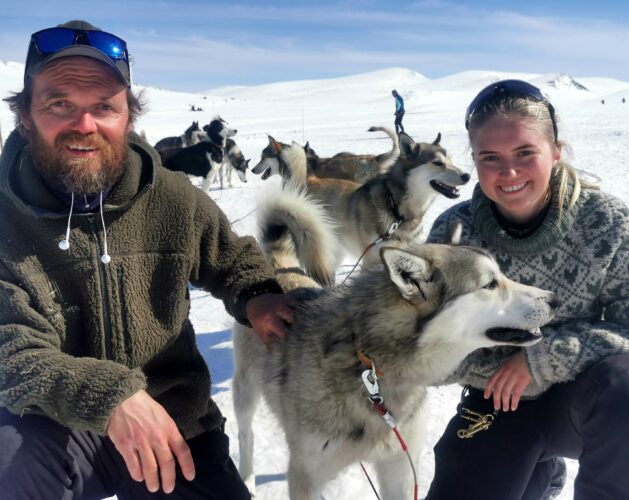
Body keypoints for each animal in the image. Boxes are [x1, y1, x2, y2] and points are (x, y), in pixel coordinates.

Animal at [233, 189, 556, 498]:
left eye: (501, 275)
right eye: (490, 284)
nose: (554, 300)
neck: (370, 367)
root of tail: (279, 268)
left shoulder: (399, 465)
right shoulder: (306, 475)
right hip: (246, 394)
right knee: (246, 435)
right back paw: (246, 480)